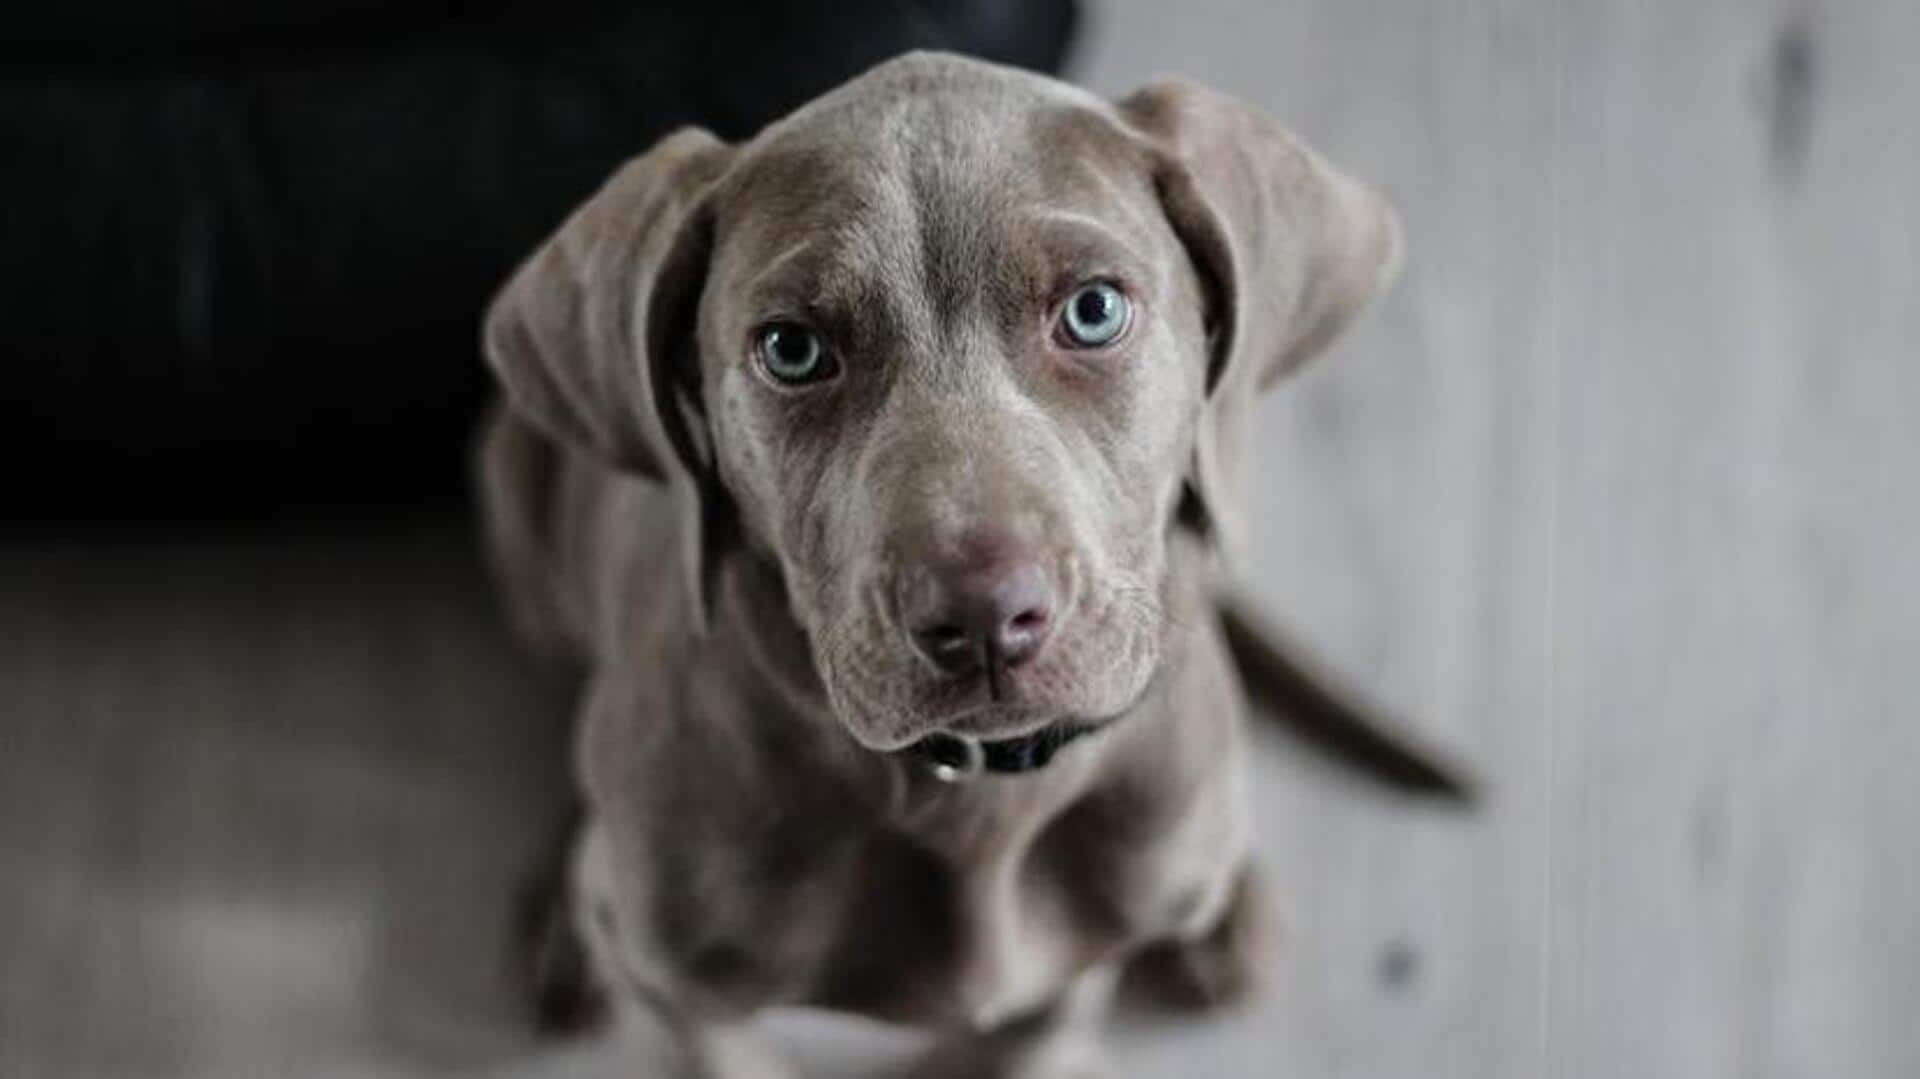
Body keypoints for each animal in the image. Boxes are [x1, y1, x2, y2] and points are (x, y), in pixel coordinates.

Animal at [476, 52, 1413, 1075]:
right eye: (791, 348)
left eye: (1093, 310)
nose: (982, 619)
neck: (977, 802)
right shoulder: (690, 990)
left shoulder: (1070, 979)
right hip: (513, 497)